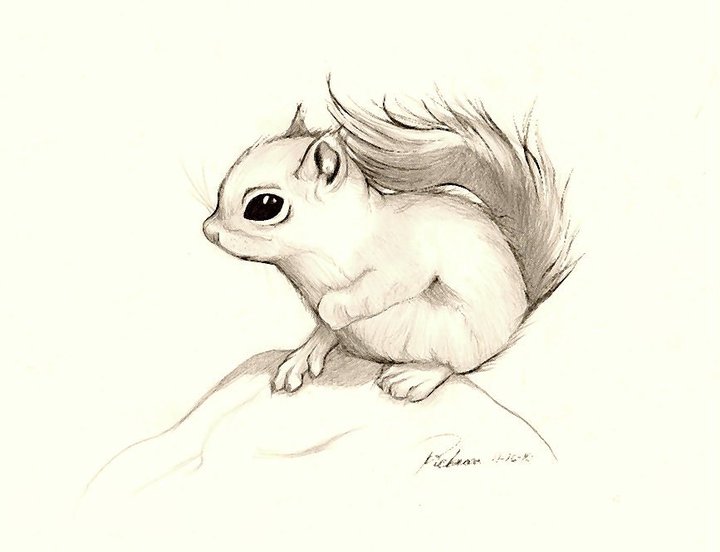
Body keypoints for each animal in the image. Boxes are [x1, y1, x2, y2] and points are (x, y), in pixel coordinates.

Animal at [202, 84, 576, 402]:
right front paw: (308, 347)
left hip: (460, 338)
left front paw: (332, 307)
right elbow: (325, 326)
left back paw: (414, 377)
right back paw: (305, 356)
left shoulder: (405, 258)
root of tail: (520, 309)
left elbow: (385, 285)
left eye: (265, 206)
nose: (209, 231)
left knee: (454, 365)